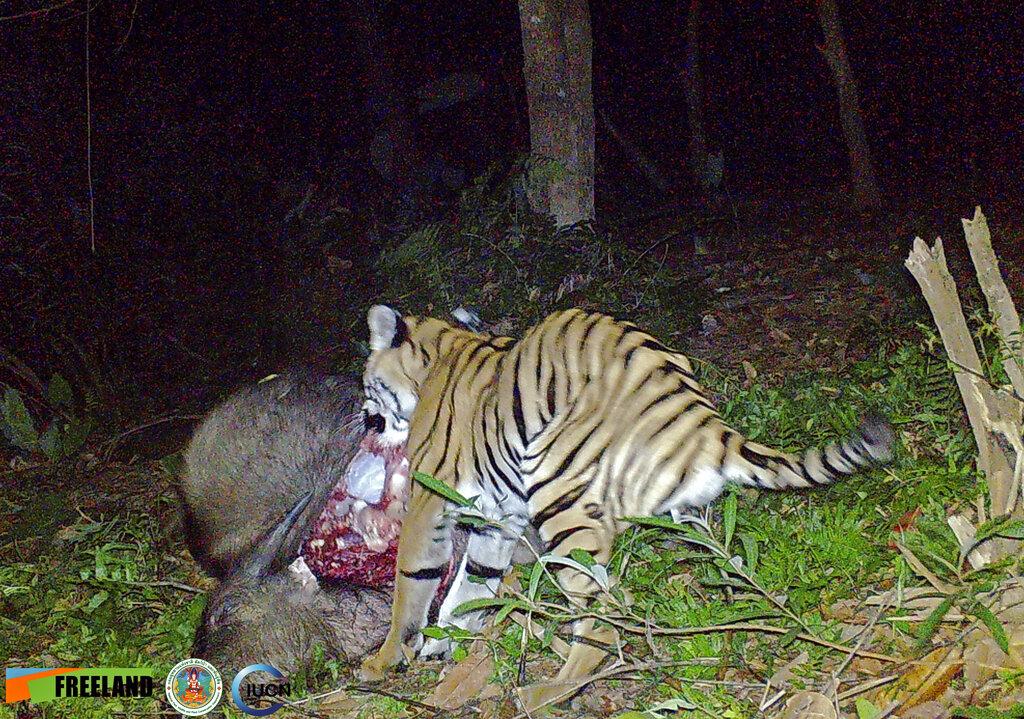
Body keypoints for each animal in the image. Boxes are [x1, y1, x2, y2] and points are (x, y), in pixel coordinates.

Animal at [356, 304, 894, 709]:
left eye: (366, 383)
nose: (366, 417)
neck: (439, 356)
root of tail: (707, 423)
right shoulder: (498, 517)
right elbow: (473, 585)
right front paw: (444, 642)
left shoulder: (430, 503)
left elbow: (413, 584)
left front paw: (387, 658)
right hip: (686, 516)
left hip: (560, 495)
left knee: (604, 612)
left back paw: (546, 691)